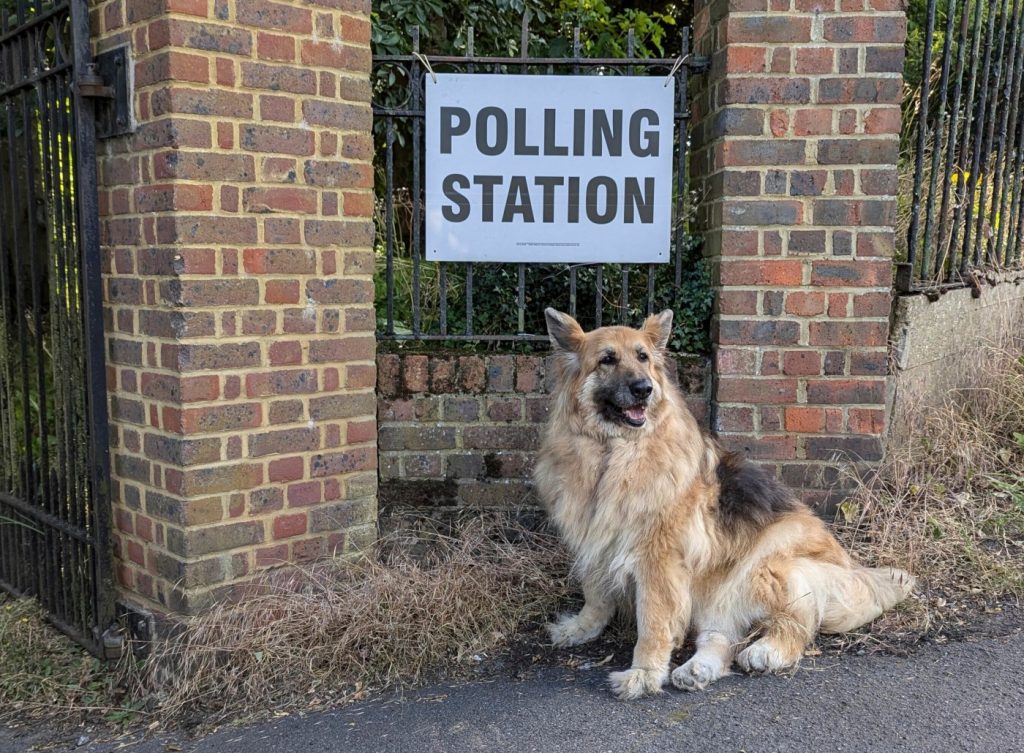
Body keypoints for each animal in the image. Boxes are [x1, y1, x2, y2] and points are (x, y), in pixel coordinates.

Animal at [536, 307, 913, 700]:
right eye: (607, 359)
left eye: (643, 357)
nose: (644, 388)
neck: (612, 454)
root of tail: (855, 570)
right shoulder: (595, 539)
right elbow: (595, 593)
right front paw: (582, 627)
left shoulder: (658, 561)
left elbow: (653, 624)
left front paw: (643, 672)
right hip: (721, 593)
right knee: (720, 639)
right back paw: (696, 670)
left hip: (763, 566)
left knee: (798, 623)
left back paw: (768, 650)